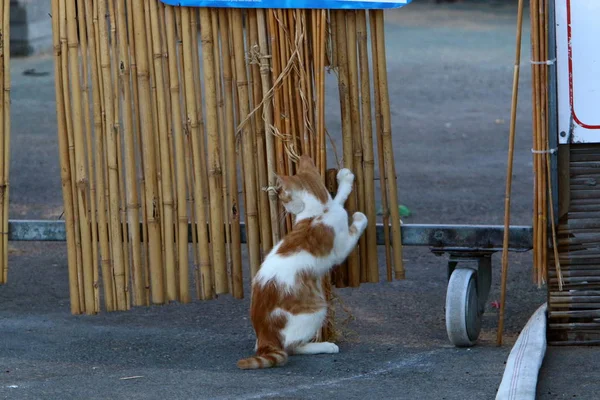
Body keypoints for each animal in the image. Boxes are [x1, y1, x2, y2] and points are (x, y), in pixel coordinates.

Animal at [237, 155, 368, 368]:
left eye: (283, 196)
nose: (283, 206)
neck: (319, 212)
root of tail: (264, 336)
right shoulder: (340, 249)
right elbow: (353, 228)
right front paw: (359, 218)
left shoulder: (328, 206)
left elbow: (337, 200)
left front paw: (345, 179)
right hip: (316, 310)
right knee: (291, 347)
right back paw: (326, 346)